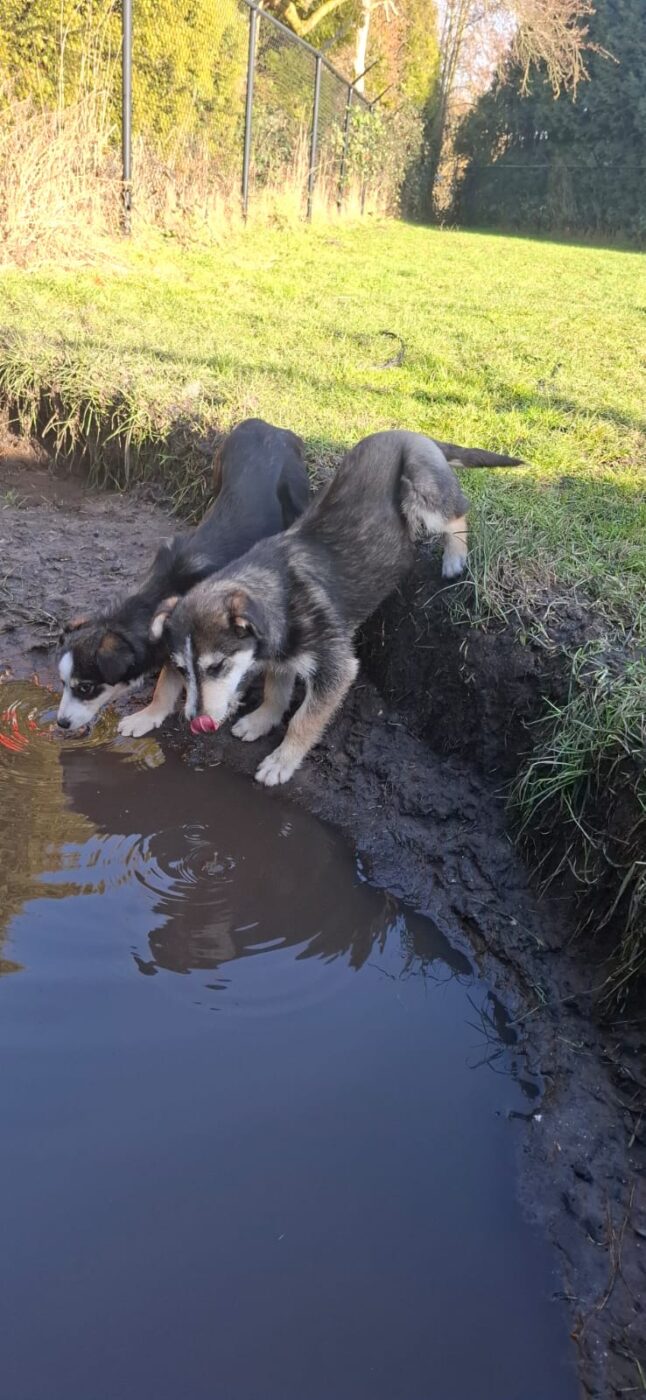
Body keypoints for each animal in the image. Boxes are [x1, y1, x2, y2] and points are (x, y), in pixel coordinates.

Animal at [55, 419, 310, 733]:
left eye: (86, 688)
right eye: (63, 683)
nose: (61, 723)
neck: (157, 593)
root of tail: (270, 426)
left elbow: (169, 684)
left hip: (297, 494)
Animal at [149, 429, 523, 785]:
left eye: (216, 667)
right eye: (180, 669)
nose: (195, 721)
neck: (282, 596)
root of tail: (413, 434)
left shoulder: (337, 669)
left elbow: (303, 719)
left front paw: (282, 761)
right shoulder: (284, 657)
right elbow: (275, 691)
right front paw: (261, 721)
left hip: (422, 483)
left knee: (458, 512)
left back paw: (455, 556)